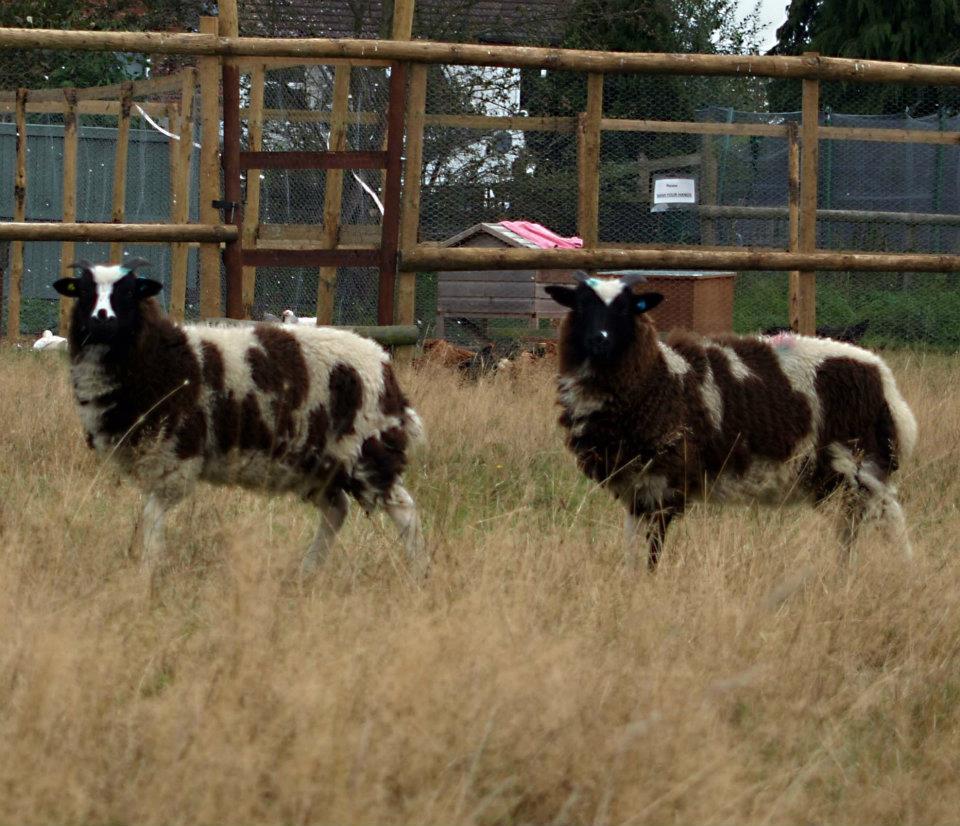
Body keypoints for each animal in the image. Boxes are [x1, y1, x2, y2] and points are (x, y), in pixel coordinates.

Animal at [53, 259, 427, 580]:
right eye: (83, 292)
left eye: (128, 291)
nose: (101, 318)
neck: (159, 356)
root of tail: (383, 361)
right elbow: (147, 519)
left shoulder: (175, 457)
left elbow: (150, 520)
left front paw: (144, 575)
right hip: (317, 462)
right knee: (336, 510)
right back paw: (306, 572)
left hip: (366, 446)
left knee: (404, 510)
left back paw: (417, 574)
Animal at [545, 272, 917, 570]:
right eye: (580, 306)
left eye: (626, 308)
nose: (599, 340)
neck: (656, 378)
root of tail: (882, 375)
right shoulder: (635, 486)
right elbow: (633, 549)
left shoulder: (665, 482)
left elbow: (653, 551)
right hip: (829, 476)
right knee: (849, 524)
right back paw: (842, 573)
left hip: (860, 463)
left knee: (892, 521)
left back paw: (903, 570)